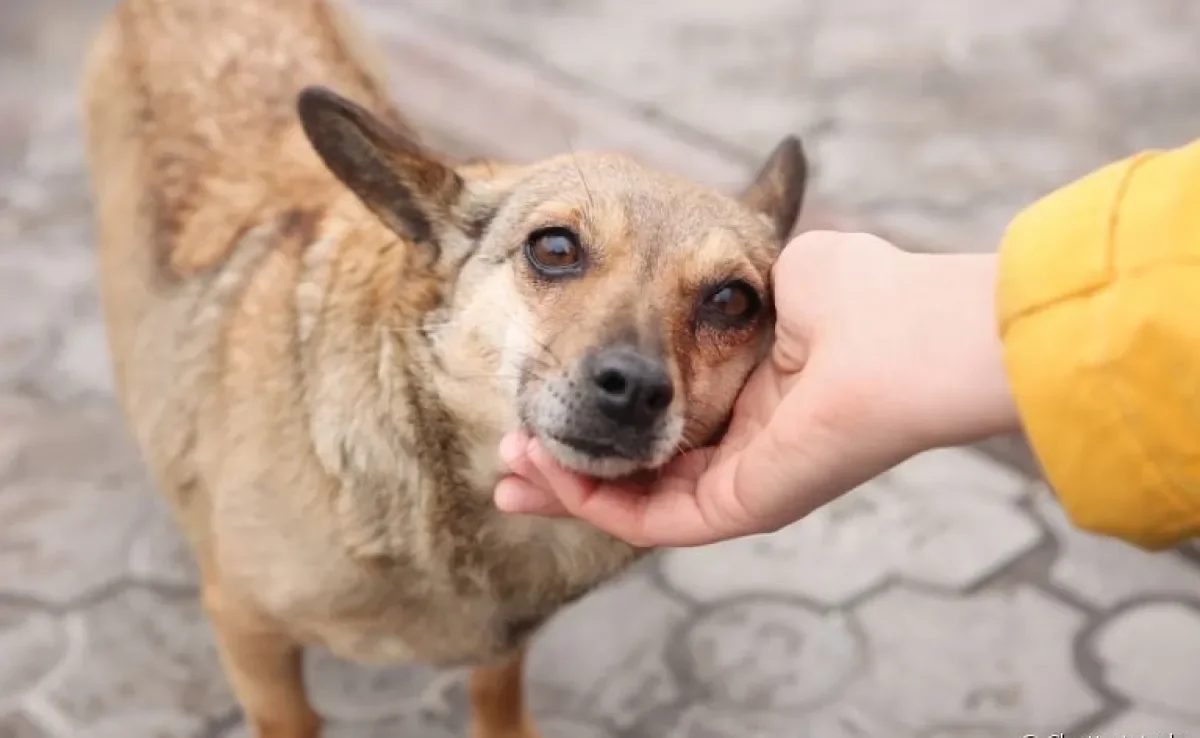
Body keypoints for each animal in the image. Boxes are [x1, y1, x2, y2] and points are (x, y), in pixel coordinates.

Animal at [79, 0, 811, 734]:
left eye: (732, 300)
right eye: (555, 248)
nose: (634, 389)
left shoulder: (504, 645)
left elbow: (495, 689)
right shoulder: (248, 632)